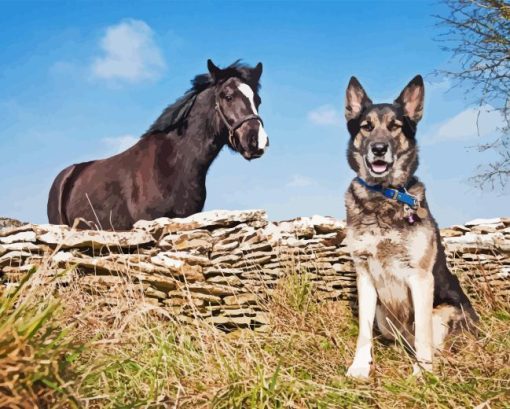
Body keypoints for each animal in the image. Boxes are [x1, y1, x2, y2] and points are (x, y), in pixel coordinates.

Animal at [342, 75, 478, 378]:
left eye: (395, 126)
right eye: (366, 126)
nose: (379, 149)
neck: (383, 196)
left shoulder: (420, 278)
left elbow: (423, 335)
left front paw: (423, 373)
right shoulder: (365, 276)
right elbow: (363, 332)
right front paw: (360, 366)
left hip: (445, 312)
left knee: (432, 340)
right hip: (384, 316)